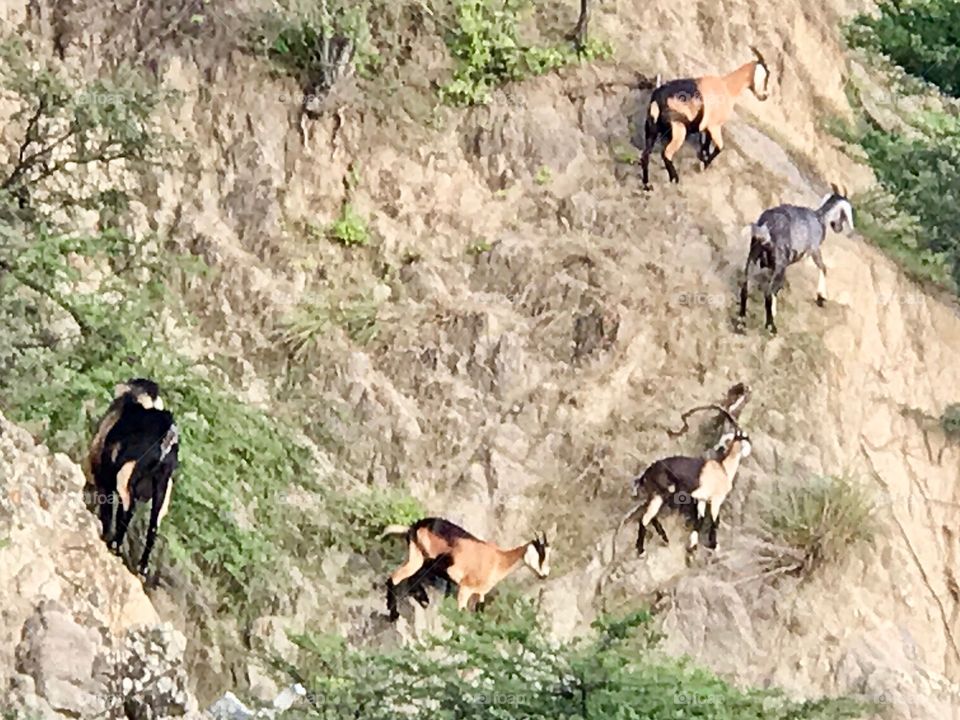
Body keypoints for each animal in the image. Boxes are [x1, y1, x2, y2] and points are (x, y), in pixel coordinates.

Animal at [87, 378, 179, 577]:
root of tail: (166, 439)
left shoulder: (105, 480)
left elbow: (108, 510)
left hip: (126, 477)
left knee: (128, 511)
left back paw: (115, 545)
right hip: (162, 488)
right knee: (153, 524)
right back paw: (142, 568)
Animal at [379, 517, 550, 621]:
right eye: (541, 554)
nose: (545, 574)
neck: (498, 560)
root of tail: (415, 526)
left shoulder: (480, 593)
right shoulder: (465, 588)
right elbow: (460, 613)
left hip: (416, 556)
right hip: (424, 559)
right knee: (400, 577)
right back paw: (396, 612)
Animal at [623, 405, 751, 556]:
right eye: (745, 437)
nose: (749, 450)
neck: (723, 468)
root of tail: (647, 473)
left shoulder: (702, 499)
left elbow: (700, 520)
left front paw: (692, 546)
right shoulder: (716, 500)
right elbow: (715, 521)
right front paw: (714, 546)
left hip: (655, 495)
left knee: (650, 516)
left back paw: (664, 538)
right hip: (663, 493)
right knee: (645, 518)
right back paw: (642, 550)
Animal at [639, 48, 771, 188]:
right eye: (766, 75)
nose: (765, 96)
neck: (727, 87)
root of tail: (657, 99)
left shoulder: (707, 127)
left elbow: (707, 143)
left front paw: (704, 157)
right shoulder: (715, 126)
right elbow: (720, 147)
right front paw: (704, 165)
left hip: (651, 127)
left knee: (645, 155)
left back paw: (647, 185)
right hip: (679, 130)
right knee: (666, 154)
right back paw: (674, 179)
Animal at [738, 185, 855, 334]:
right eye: (843, 214)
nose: (838, 228)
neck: (820, 217)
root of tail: (766, 229)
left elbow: (777, 288)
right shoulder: (814, 249)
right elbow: (823, 267)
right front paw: (821, 297)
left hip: (753, 256)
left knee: (745, 287)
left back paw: (741, 322)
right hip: (780, 263)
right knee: (767, 294)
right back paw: (771, 327)